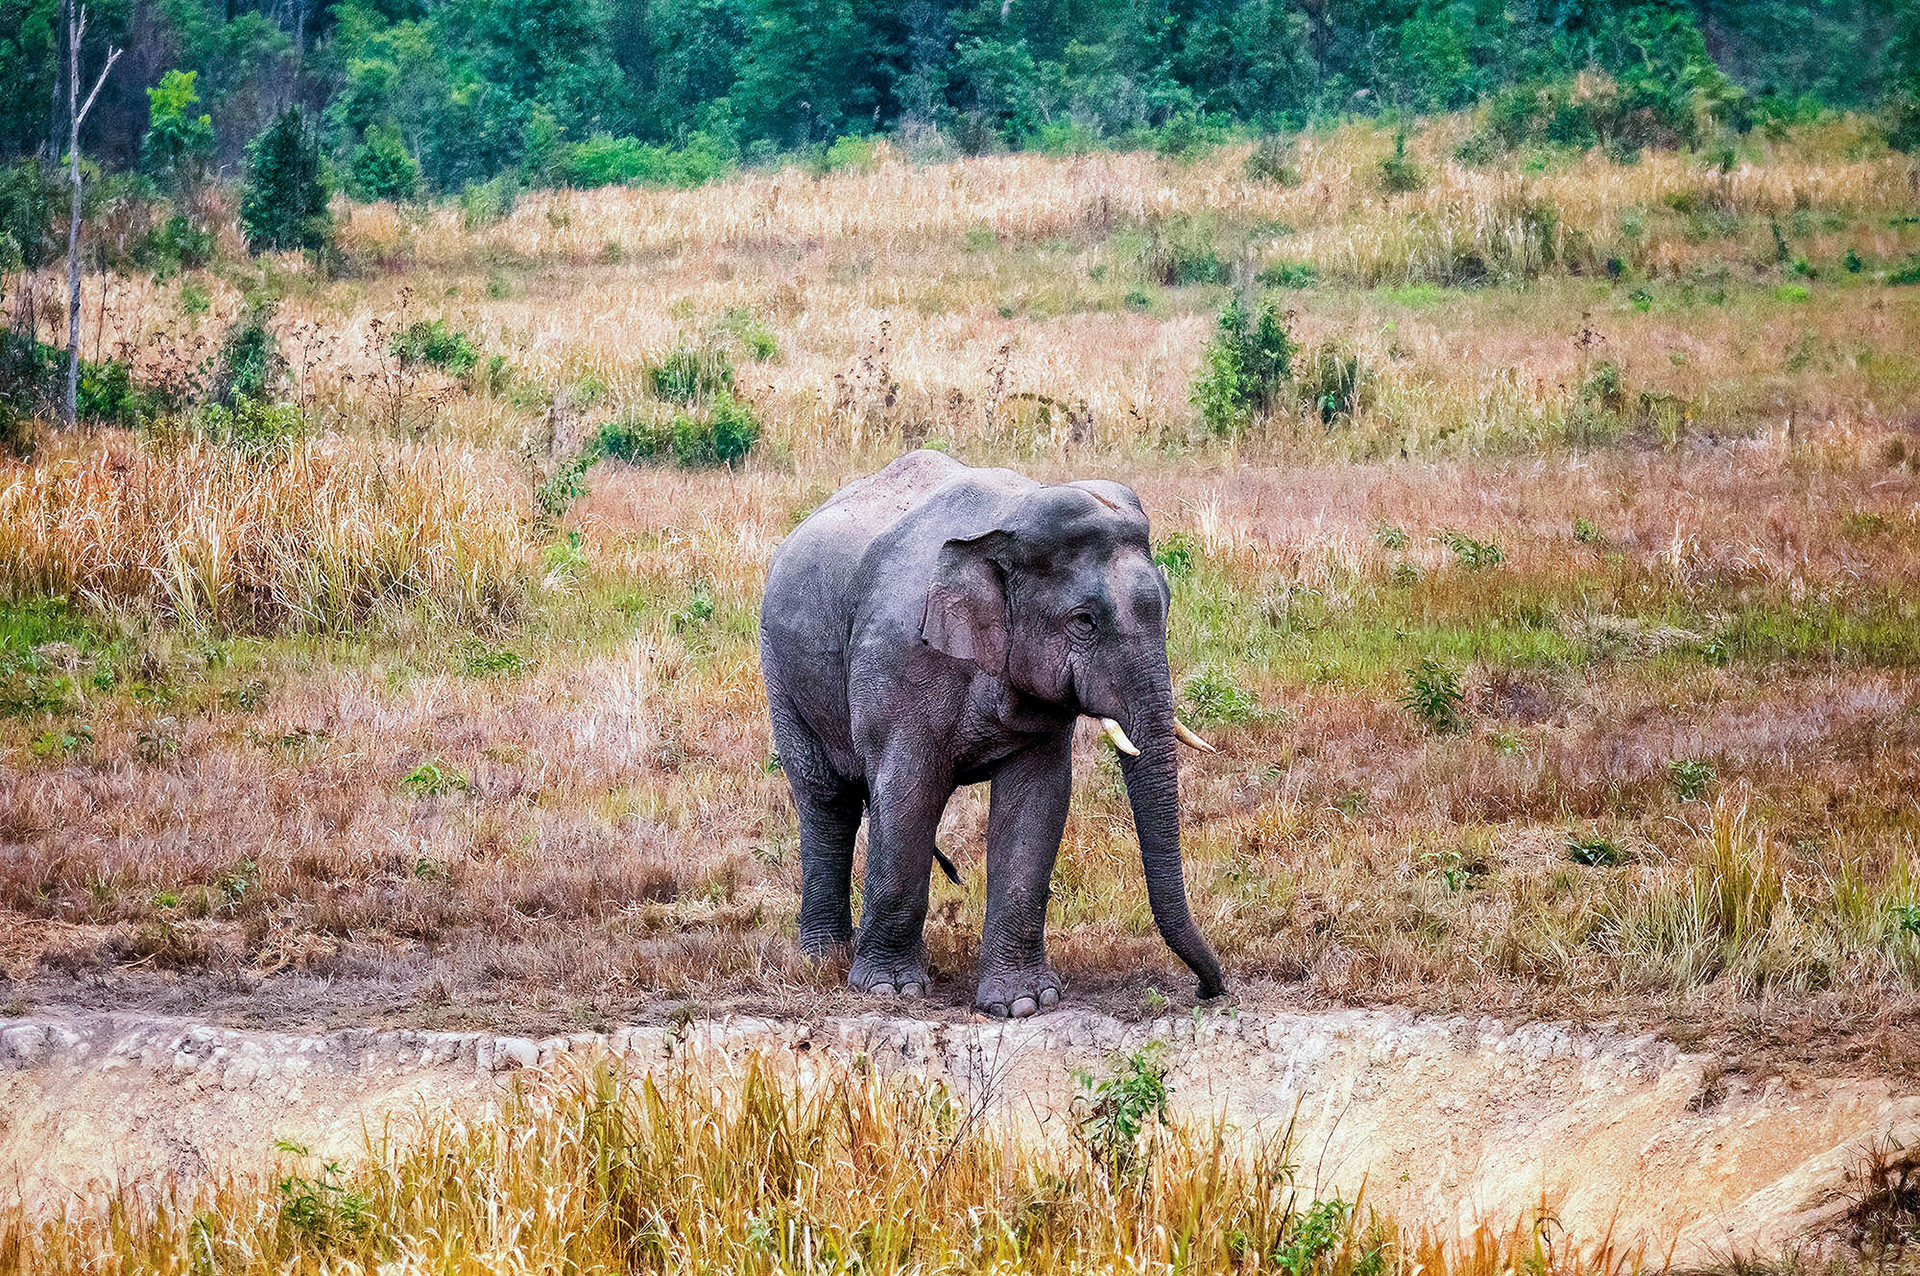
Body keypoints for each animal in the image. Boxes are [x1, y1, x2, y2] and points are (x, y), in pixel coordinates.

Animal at [759, 449, 1225, 1018]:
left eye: (1165, 606)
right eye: (1084, 621)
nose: (1206, 990)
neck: (1010, 523)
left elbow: (1038, 800)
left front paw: (1023, 1004)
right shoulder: (897, 661)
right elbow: (907, 794)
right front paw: (890, 991)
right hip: (780, 667)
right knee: (826, 800)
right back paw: (824, 958)